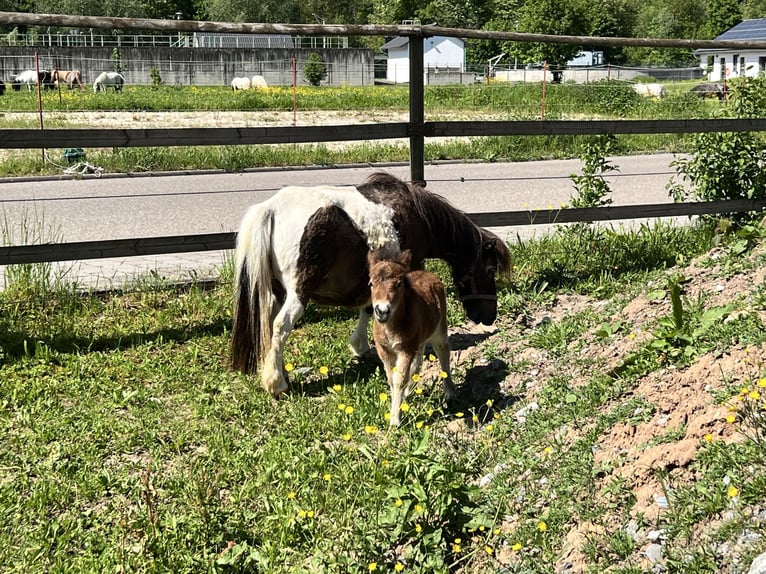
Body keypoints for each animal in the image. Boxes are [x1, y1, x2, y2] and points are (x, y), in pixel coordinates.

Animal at [231, 174, 512, 400]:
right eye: (489, 270)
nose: (489, 317)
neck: (418, 216)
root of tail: (270, 209)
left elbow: (368, 308)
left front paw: (360, 346)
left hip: (277, 291)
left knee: (269, 325)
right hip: (299, 291)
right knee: (281, 325)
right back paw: (277, 383)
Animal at [368, 250, 456, 426]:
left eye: (399, 284)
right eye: (371, 284)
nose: (382, 311)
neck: (391, 328)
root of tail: (429, 273)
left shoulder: (405, 348)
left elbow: (399, 379)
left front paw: (395, 420)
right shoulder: (384, 350)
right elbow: (392, 378)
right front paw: (398, 408)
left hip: (439, 330)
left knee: (443, 352)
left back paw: (450, 393)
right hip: (419, 340)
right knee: (419, 360)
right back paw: (409, 392)